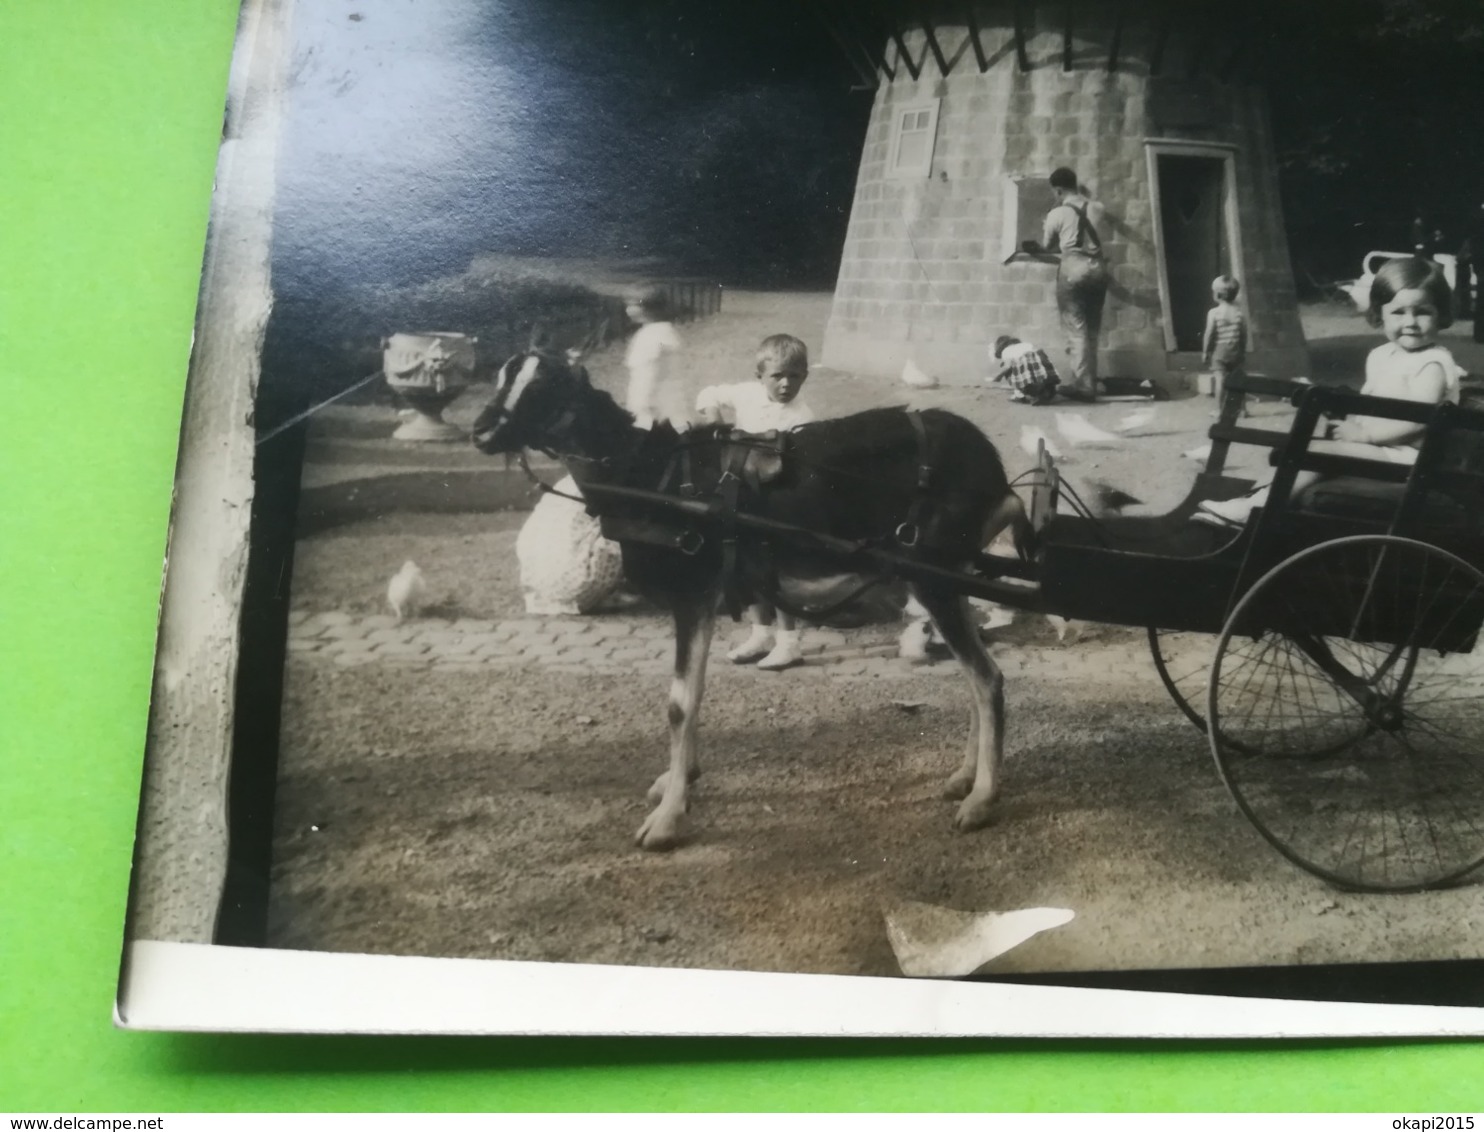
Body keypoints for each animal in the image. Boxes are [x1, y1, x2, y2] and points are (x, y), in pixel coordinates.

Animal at [474, 350, 1032, 848]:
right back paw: (964, 777)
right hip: (949, 580)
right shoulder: (701, 600)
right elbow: (694, 691)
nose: (481, 430)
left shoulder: (693, 591)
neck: (651, 476)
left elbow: (679, 701)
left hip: (935, 579)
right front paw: (680, 780)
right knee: (978, 677)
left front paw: (667, 819)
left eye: (543, 386)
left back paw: (981, 799)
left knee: (985, 678)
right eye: (503, 375)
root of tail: (992, 469)